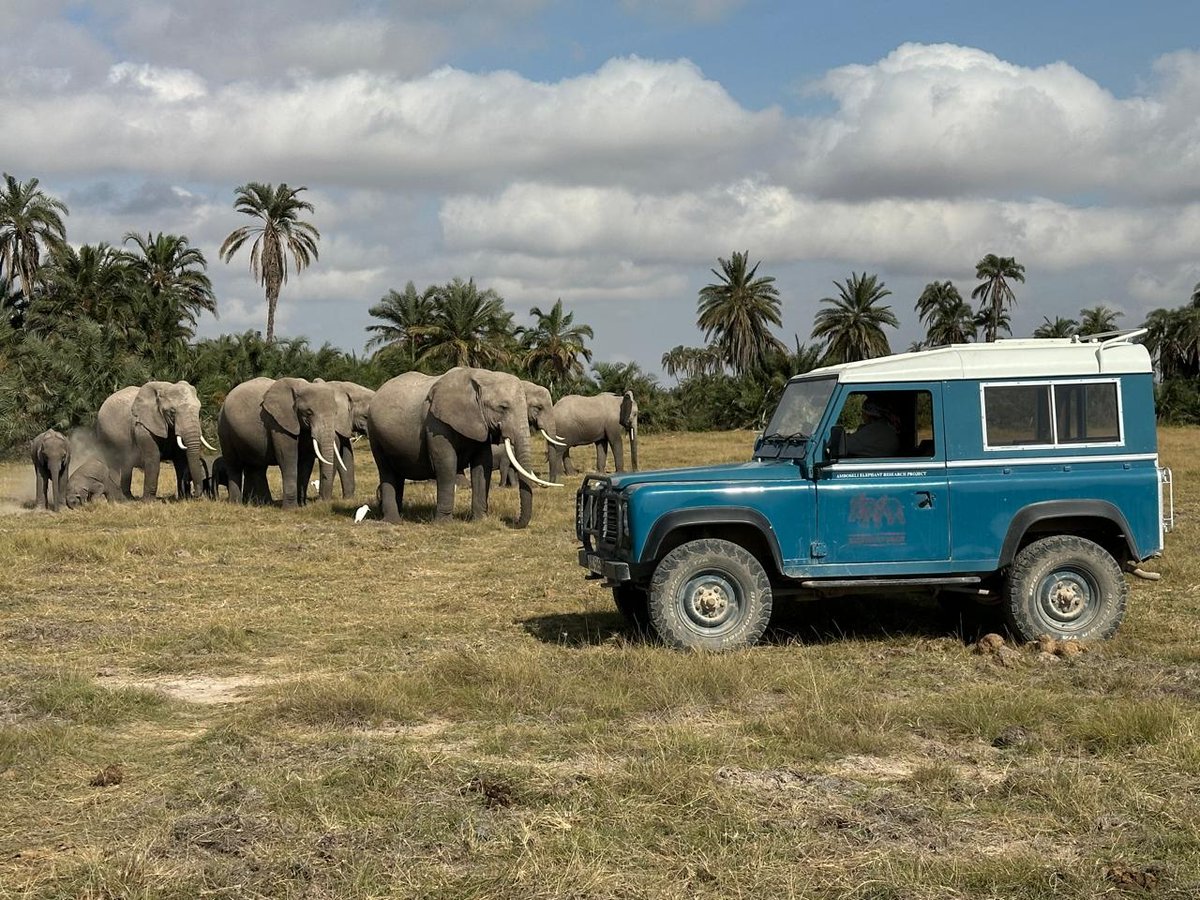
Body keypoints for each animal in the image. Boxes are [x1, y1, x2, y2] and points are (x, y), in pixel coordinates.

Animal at [217, 377, 350, 509]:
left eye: (336, 413)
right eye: (309, 412)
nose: (321, 501)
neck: (301, 386)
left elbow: (305, 461)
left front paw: (302, 506)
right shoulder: (279, 423)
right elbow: (287, 457)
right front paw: (291, 509)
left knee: (257, 466)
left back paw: (262, 504)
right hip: (224, 429)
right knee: (234, 464)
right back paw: (236, 503)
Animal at [367, 367, 561, 526]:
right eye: (503, 407)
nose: (513, 521)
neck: (481, 376)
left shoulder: (480, 425)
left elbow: (483, 466)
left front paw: (480, 520)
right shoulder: (436, 424)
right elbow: (446, 464)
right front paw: (444, 524)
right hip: (375, 433)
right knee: (386, 471)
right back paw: (393, 521)